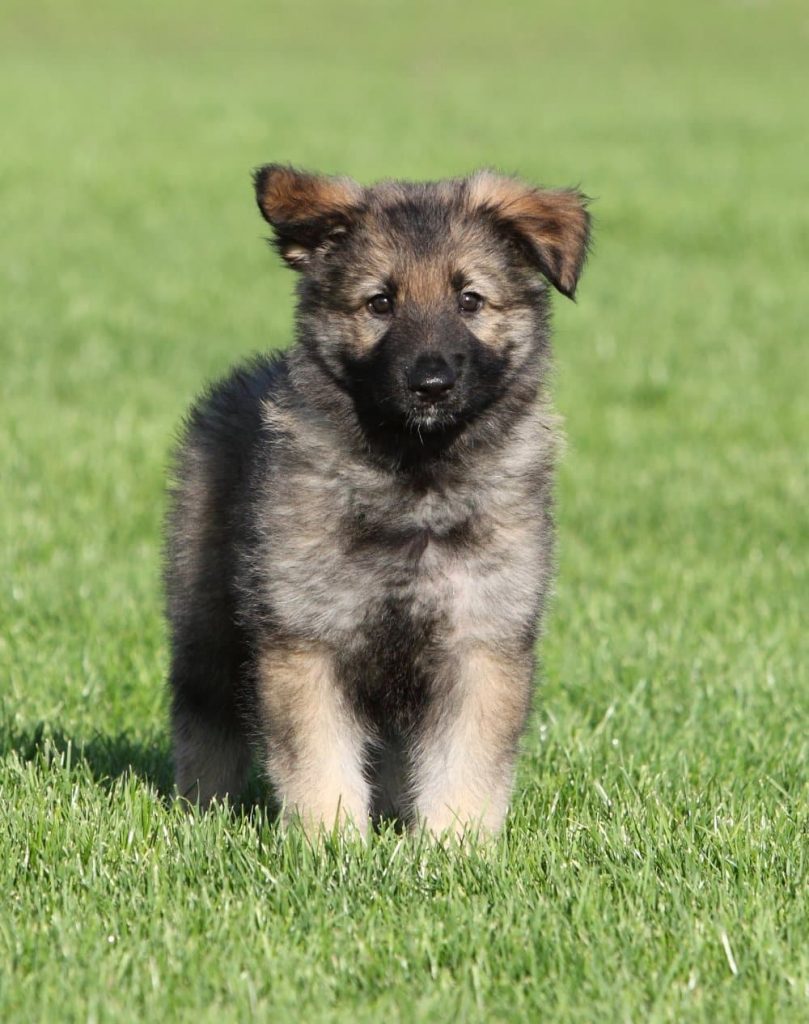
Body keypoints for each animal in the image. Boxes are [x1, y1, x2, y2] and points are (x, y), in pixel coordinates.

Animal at [162, 163, 589, 835]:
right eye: (380, 302)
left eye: (470, 299)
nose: (432, 384)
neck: (414, 480)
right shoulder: (304, 639)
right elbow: (318, 760)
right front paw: (331, 842)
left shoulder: (482, 642)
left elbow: (464, 765)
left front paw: (453, 846)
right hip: (207, 627)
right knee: (204, 725)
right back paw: (203, 813)